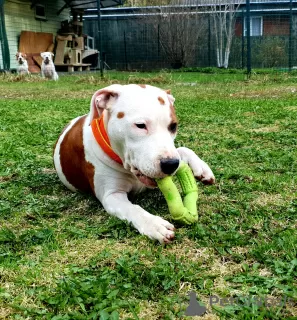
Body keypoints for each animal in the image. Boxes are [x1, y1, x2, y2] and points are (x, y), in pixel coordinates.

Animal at [53, 84, 214, 242]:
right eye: (140, 125)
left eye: (173, 126)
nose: (170, 164)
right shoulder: (111, 195)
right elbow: (133, 209)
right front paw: (154, 224)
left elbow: (183, 149)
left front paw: (202, 168)